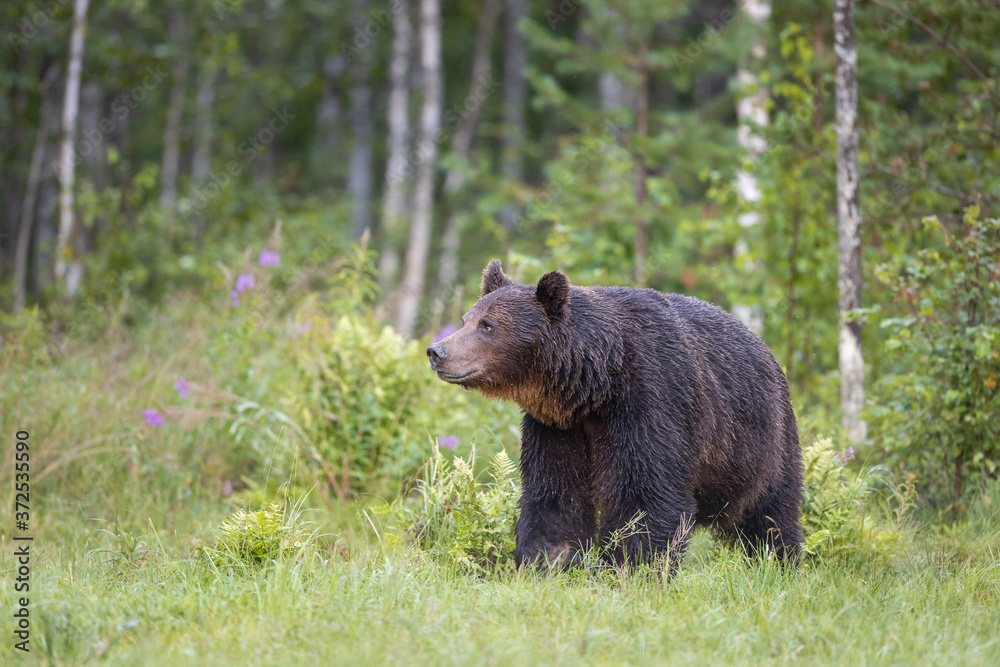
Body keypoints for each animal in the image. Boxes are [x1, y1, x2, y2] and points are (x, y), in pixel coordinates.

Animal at [426, 260, 803, 569]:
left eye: (488, 325)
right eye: (466, 319)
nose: (437, 351)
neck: (598, 383)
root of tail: (766, 349)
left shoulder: (651, 402)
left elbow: (645, 494)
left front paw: (632, 565)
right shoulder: (558, 426)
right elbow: (556, 492)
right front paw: (547, 559)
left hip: (761, 438)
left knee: (771, 512)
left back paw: (778, 562)